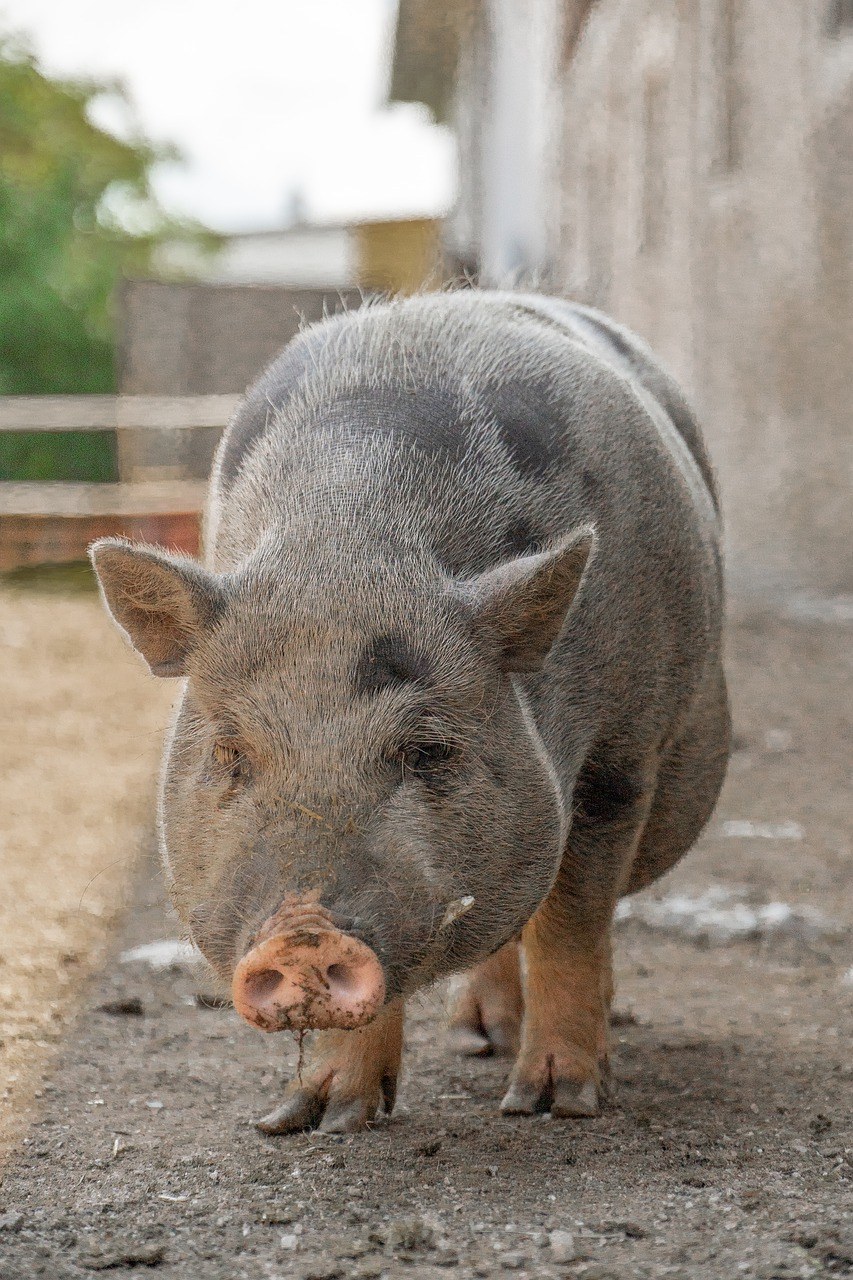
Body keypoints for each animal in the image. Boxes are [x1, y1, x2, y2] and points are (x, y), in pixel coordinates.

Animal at [92, 294, 732, 1136]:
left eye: (427, 749)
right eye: (229, 751)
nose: (303, 935)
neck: (349, 551)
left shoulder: (620, 757)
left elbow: (570, 921)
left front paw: (555, 1105)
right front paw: (316, 1120)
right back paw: (475, 1040)